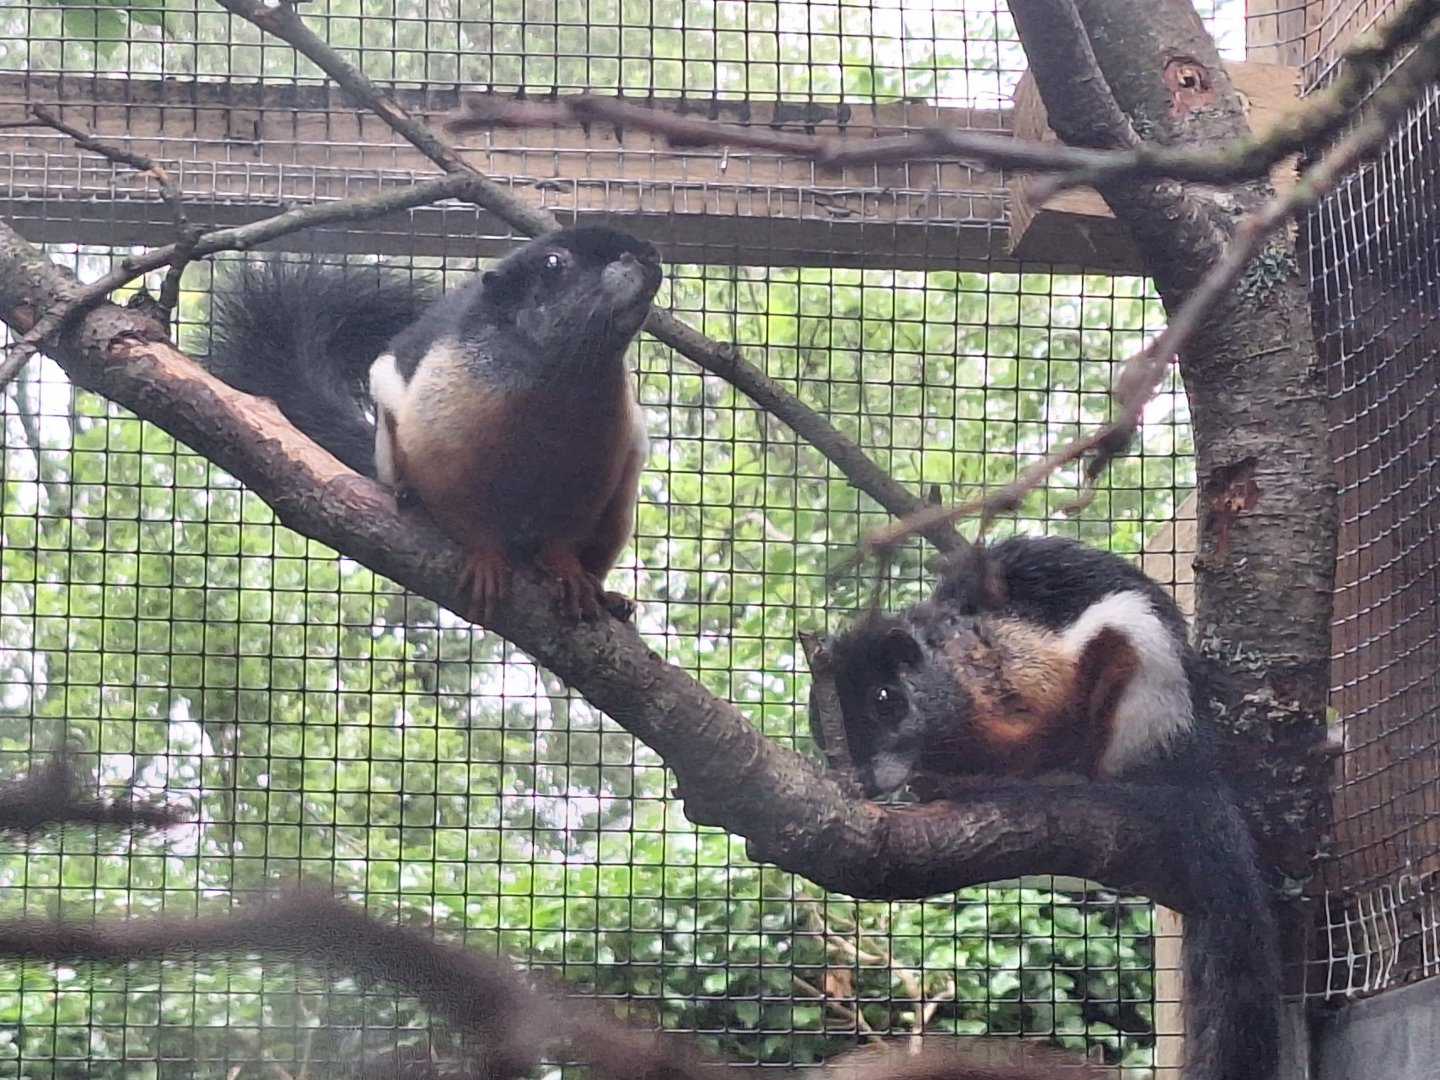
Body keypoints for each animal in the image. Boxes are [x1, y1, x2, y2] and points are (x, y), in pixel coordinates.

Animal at [204, 226, 663, 623]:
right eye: (553, 264)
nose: (647, 253)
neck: (564, 382)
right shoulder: (440, 451)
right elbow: (464, 516)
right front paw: (484, 559)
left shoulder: (595, 476)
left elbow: (567, 535)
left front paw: (567, 570)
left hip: (619, 504)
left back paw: (607, 595)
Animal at [813, 535, 1280, 1080]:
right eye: (822, 730)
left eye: (887, 699)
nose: (869, 779)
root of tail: (1194, 757)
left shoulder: (1021, 669)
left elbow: (1038, 730)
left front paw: (978, 778)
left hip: (1140, 692)